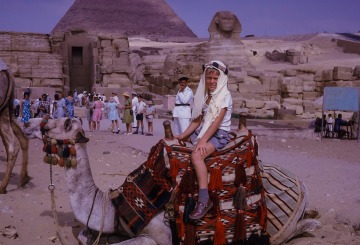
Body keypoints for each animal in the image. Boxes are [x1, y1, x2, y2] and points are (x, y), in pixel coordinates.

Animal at [23, 117, 320, 245]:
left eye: (66, 122)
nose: (33, 125)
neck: (115, 206)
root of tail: (303, 184)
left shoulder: (160, 237)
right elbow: (87, 236)